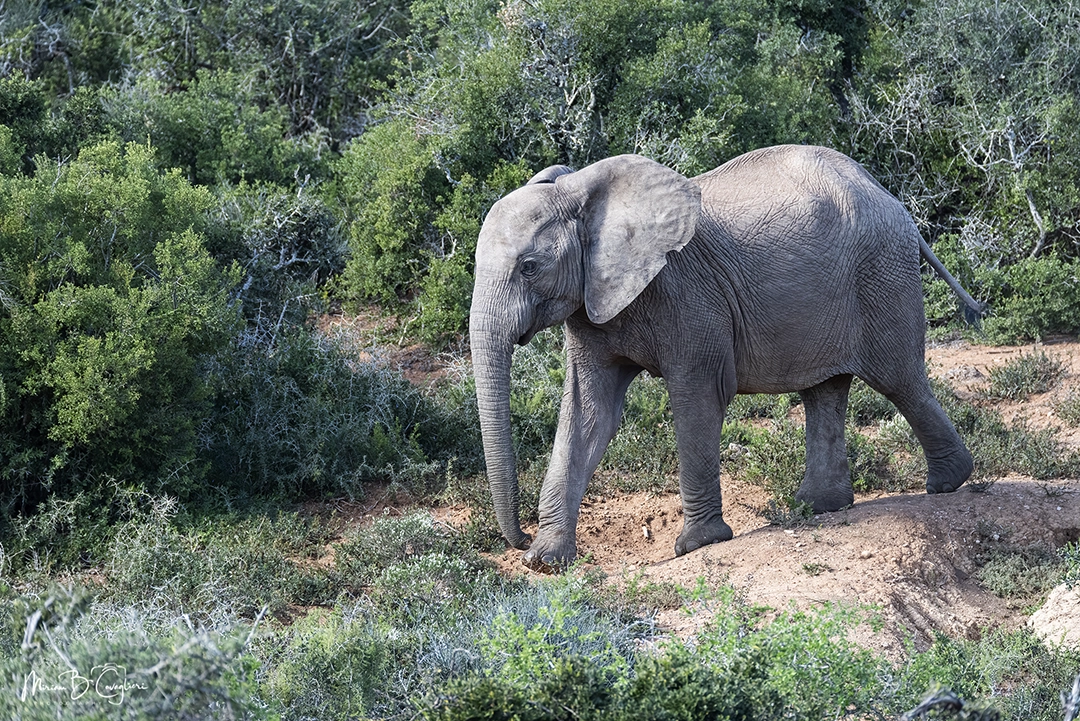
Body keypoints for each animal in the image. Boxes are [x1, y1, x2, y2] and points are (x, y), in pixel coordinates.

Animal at [469, 144, 980, 572]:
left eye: (529, 267)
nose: (518, 539)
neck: (581, 192)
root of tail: (892, 201)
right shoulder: (590, 304)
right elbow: (588, 413)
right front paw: (545, 560)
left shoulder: (688, 294)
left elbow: (697, 396)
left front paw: (697, 543)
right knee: (825, 391)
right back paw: (816, 507)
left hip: (880, 272)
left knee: (898, 378)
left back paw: (946, 483)